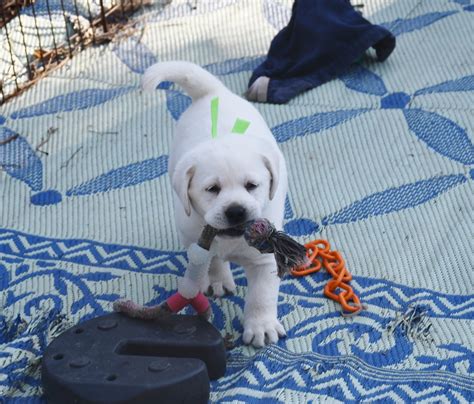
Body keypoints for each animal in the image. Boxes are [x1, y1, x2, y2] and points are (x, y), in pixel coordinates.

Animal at [143, 60, 286, 348]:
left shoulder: (264, 260)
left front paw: (261, 325)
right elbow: (213, 259)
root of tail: (212, 92)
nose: (236, 211)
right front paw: (219, 279)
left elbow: (261, 295)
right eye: (212, 189)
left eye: (252, 185)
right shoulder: (195, 237)